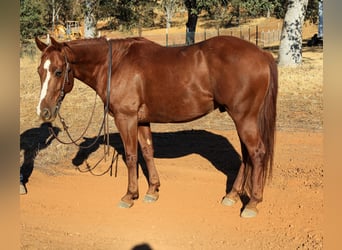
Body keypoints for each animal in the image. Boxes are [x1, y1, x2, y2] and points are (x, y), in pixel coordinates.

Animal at [34, 36, 276, 218]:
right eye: (39, 71)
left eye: (58, 71)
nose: (43, 111)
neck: (115, 64)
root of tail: (262, 54)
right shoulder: (141, 120)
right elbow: (148, 151)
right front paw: (152, 190)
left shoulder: (126, 118)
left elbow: (131, 156)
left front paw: (130, 195)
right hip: (243, 119)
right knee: (246, 155)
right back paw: (232, 196)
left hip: (244, 118)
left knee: (256, 153)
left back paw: (252, 203)